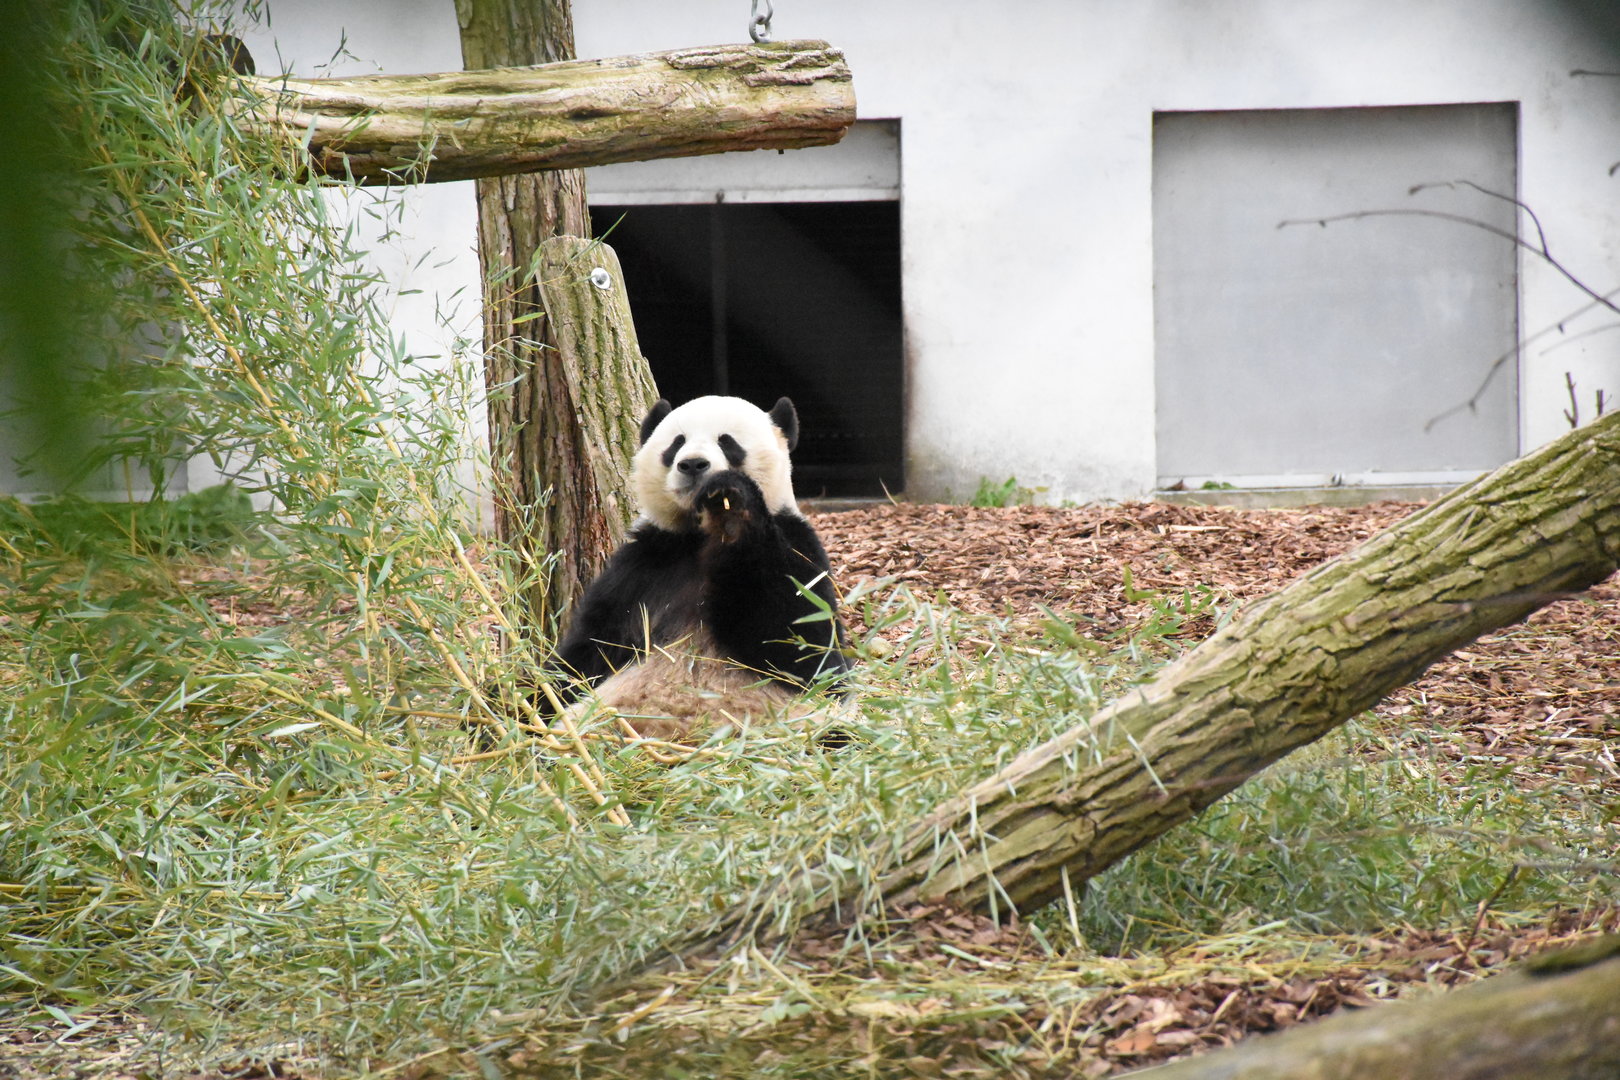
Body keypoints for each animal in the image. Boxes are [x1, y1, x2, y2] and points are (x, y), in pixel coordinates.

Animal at [547, 394, 851, 741]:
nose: (692, 464)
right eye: (677, 443)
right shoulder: (644, 565)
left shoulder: (800, 546)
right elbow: (590, 648)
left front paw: (733, 508)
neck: (699, 535)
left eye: (727, 442)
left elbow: (801, 647)